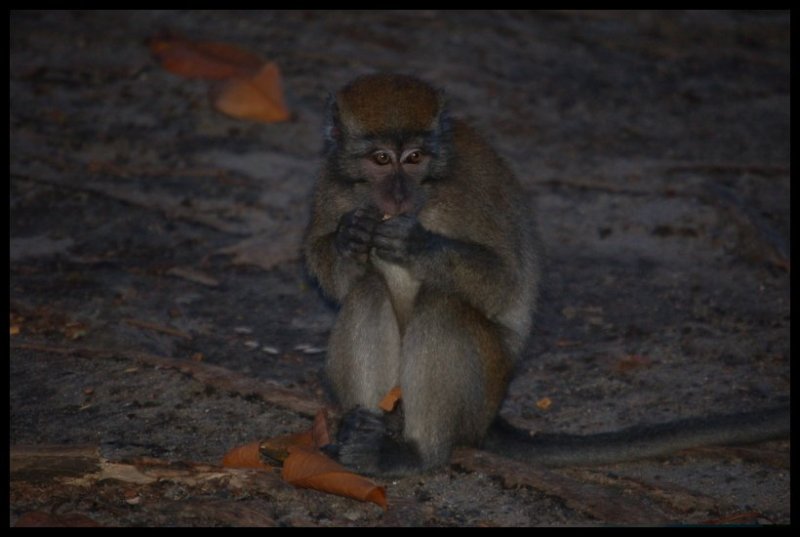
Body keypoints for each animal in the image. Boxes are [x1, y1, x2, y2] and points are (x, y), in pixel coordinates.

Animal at [303, 73, 789, 477]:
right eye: (381, 159)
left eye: (414, 158)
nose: (398, 193)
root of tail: (490, 415)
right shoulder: (329, 184)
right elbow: (336, 278)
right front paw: (351, 236)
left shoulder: (465, 192)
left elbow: (504, 281)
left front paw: (416, 245)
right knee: (367, 290)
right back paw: (367, 428)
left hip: (487, 384)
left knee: (445, 307)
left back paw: (419, 452)